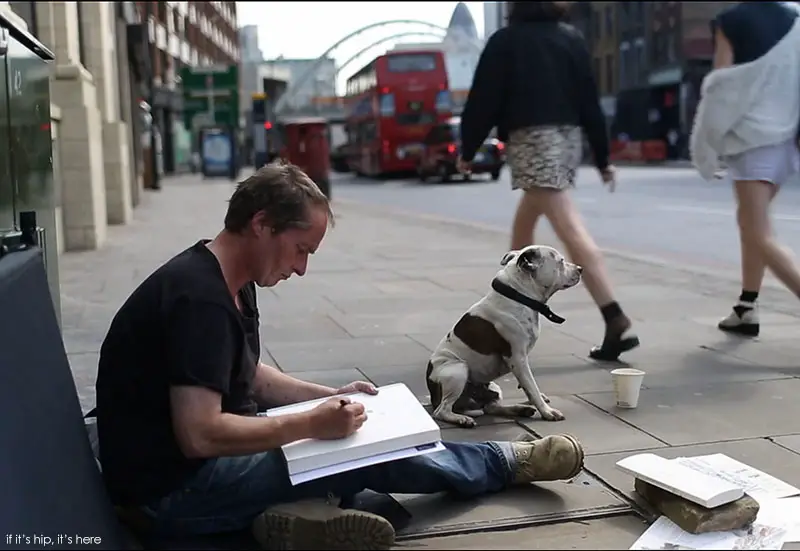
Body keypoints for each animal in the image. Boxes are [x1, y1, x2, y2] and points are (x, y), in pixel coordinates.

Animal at [424, 245, 580, 426]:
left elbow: (527, 387)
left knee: (491, 407)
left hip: (492, 387)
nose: (580, 269)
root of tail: (432, 396)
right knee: (442, 410)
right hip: (457, 370)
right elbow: (531, 387)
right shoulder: (517, 359)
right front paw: (547, 412)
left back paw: (520, 409)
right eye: (561, 261)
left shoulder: (520, 362)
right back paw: (462, 419)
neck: (519, 296)